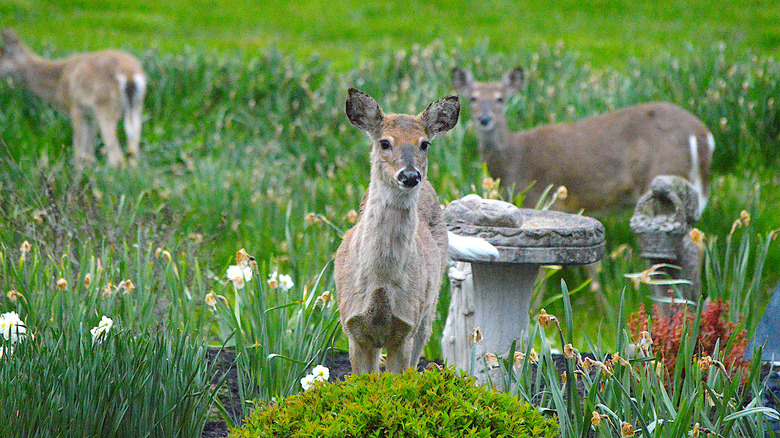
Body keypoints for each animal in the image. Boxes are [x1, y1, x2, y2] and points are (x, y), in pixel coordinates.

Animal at [0, 27, 146, 168]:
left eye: (1, 55)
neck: (60, 82)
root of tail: (130, 73)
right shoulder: (91, 115)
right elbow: (88, 153)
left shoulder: (76, 108)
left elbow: (78, 153)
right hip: (136, 107)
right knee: (133, 152)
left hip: (106, 106)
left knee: (116, 158)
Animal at [334, 88, 458, 372]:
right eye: (384, 142)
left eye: (425, 144)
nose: (410, 175)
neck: (380, 283)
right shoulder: (353, 327)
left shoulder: (406, 326)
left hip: (429, 307)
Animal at [450, 67, 712, 217]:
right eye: (472, 98)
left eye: (500, 99)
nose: (484, 119)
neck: (511, 161)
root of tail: (701, 135)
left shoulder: (541, 199)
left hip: (660, 175)